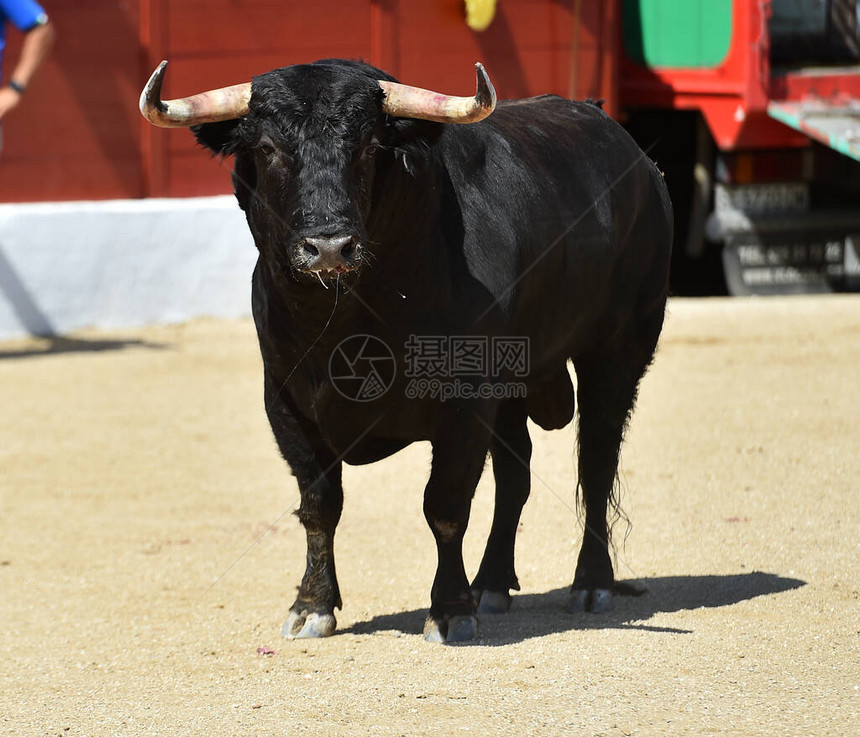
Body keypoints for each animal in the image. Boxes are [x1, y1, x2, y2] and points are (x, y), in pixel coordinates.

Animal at [146, 60, 672, 640]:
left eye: (370, 146)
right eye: (266, 147)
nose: (328, 246)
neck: (344, 321)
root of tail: (633, 155)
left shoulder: (465, 404)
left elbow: (445, 503)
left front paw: (450, 610)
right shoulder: (285, 402)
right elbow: (318, 505)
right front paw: (311, 605)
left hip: (618, 351)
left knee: (596, 462)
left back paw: (590, 584)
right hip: (511, 384)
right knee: (515, 476)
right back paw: (491, 584)